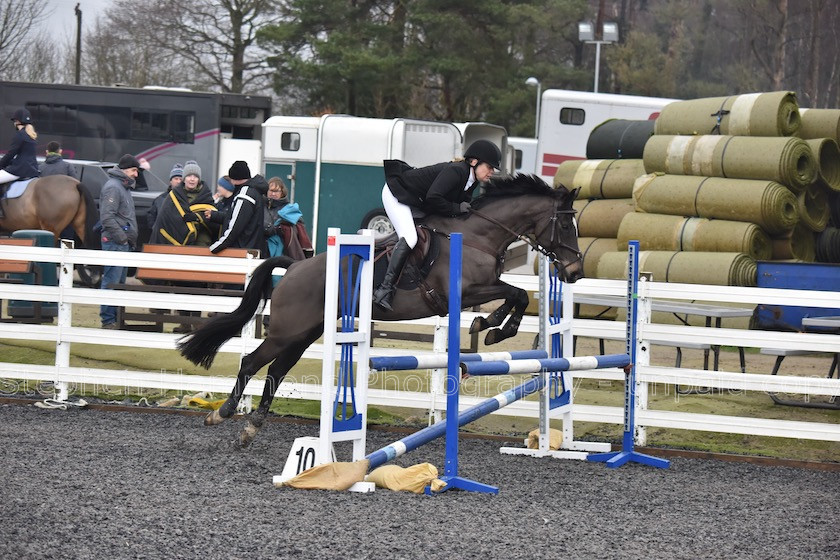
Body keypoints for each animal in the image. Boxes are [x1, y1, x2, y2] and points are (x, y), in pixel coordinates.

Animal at [177, 175, 584, 446]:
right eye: (566, 224)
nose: (574, 272)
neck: (478, 236)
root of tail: (293, 267)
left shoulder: (478, 289)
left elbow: (516, 295)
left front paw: (493, 325)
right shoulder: (465, 290)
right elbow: (516, 293)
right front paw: (495, 326)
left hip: (304, 334)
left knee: (275, 371)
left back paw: (251, 429)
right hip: (287, 332)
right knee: (252, 363)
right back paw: (222, 414)